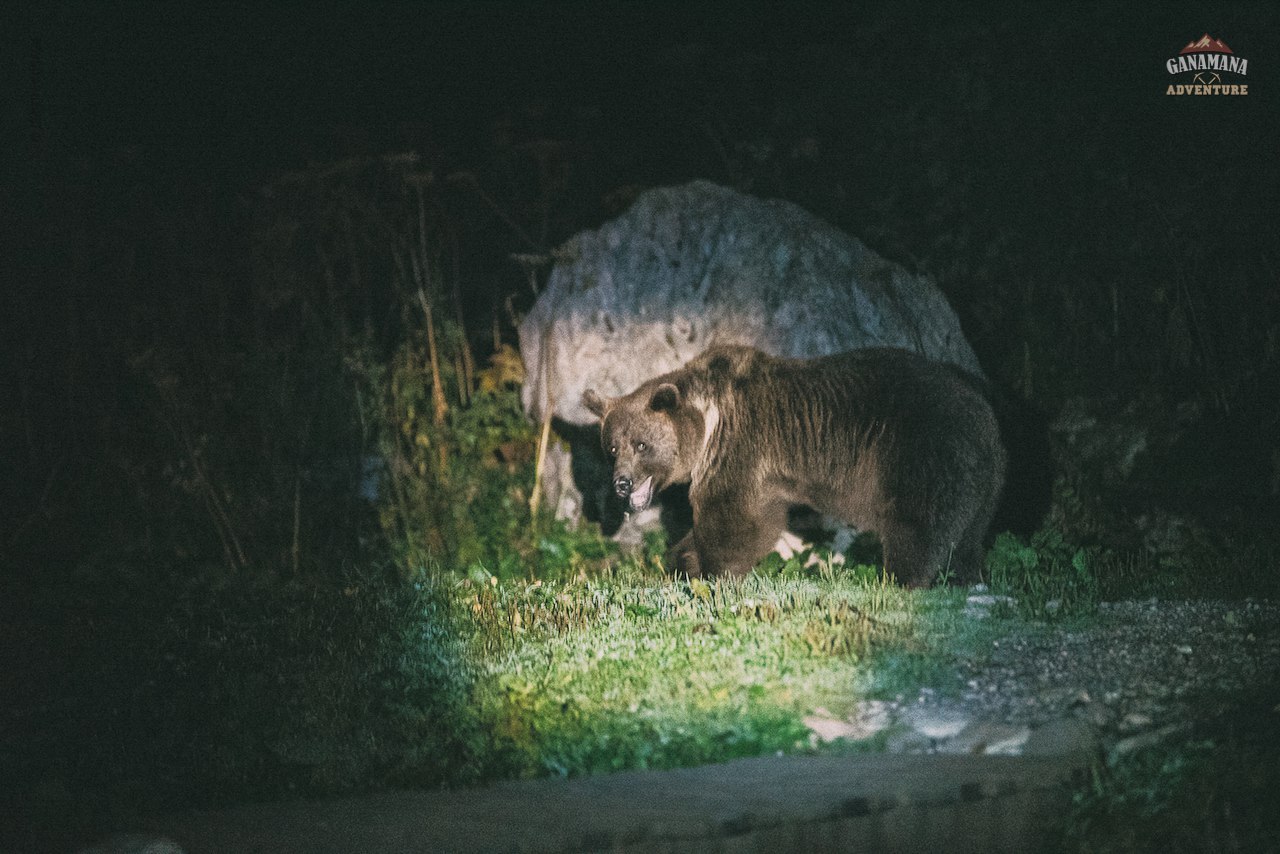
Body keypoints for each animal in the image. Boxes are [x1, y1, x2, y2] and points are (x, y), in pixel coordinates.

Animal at [583, 343, 1008, 583]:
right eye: (612, 448)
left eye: (641, 444)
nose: (621, 483)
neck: (709, 421)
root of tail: (983, 407)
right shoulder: (765, 477)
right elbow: (760, 519)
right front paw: (681, 559)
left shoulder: (740, 447)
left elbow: (733, 520)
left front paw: (709, 568)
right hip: (984, 479)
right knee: (967, 534)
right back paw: (966, 575)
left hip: (923, 450)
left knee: (919, 525)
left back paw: (902, 577)